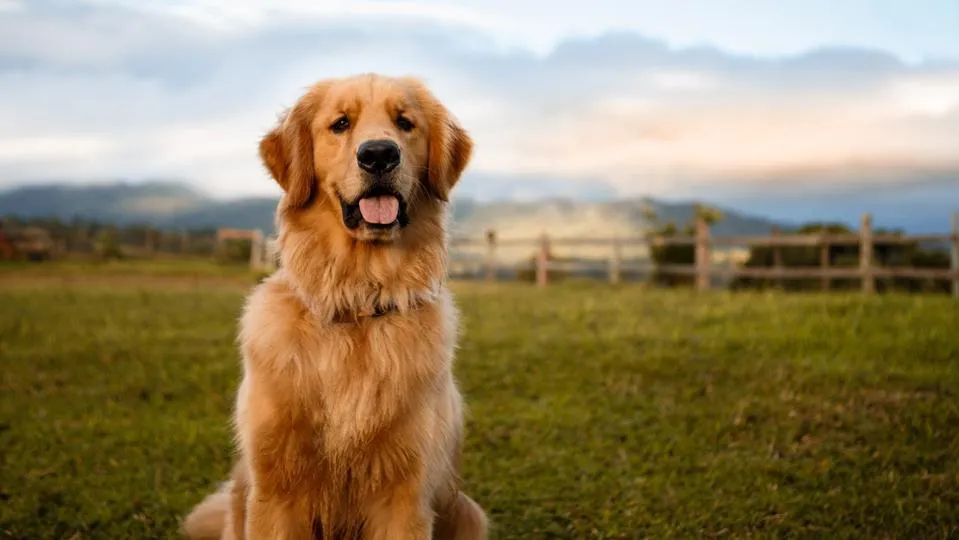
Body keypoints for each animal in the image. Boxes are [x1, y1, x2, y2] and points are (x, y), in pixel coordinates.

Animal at [182, 73, 488, 540]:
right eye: (341, 123)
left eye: (405, 123)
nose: (378, 154)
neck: (357, 300)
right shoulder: (275, 491)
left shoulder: (405, 495)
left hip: (468, 512)